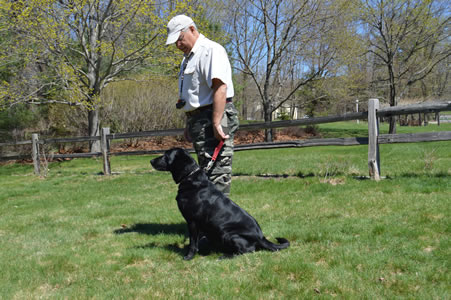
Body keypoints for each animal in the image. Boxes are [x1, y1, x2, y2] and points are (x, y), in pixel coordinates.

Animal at [150, 148, 288, 260]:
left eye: (166, 155)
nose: (150, 161)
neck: (191, 178)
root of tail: (261, 237)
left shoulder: (192, 221)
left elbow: (192, 242)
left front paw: (188, 256)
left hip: (227, 233)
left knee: (248, 250)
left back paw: (226, 256)